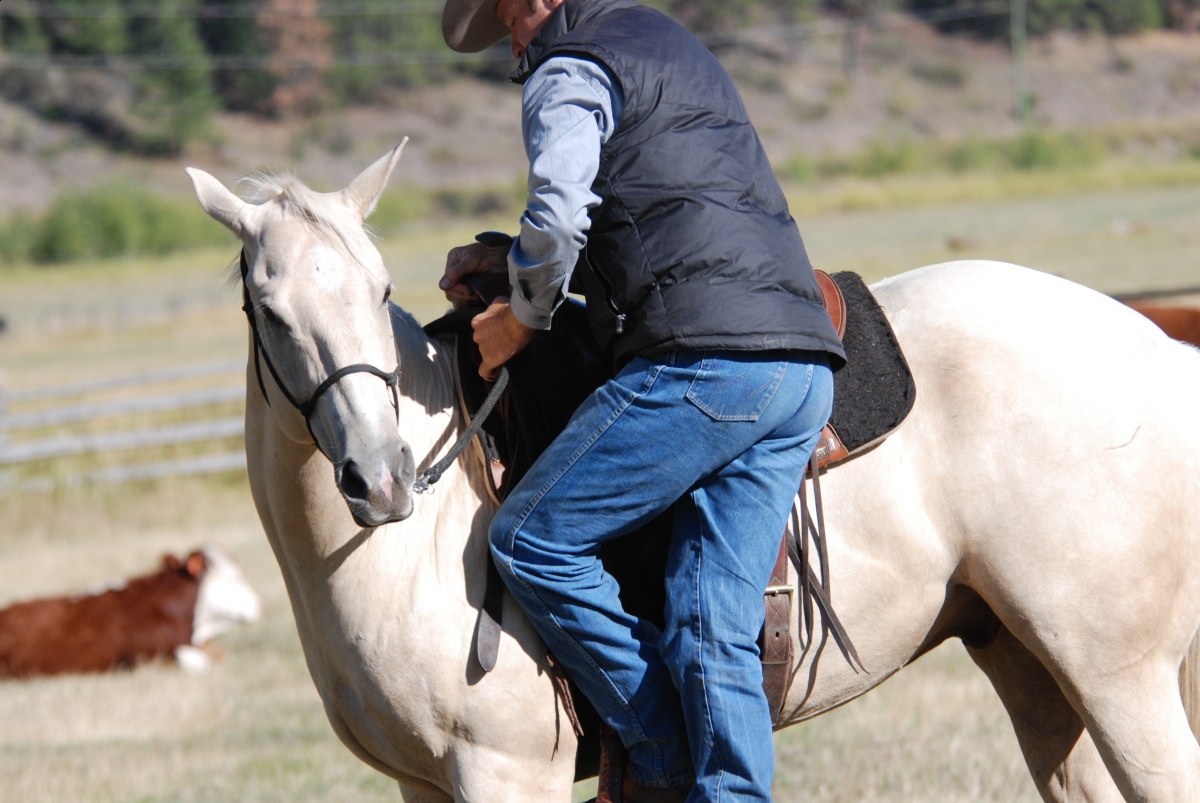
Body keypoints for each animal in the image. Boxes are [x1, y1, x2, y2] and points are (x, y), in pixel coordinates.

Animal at [187, 143, 1200, 802]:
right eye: (267, 306)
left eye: (380, 288)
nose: (383, 476)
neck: (411, 551)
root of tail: (1160, 345)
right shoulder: (425, 785)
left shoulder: (506, 770)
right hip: (1031, 668)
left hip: (1117, 672)